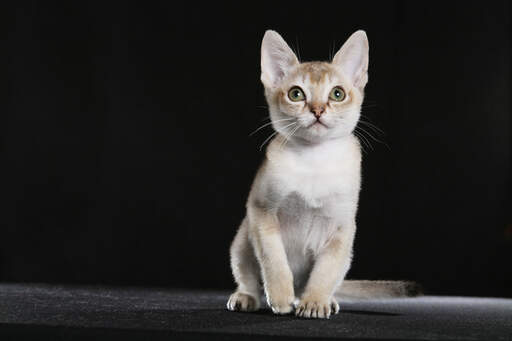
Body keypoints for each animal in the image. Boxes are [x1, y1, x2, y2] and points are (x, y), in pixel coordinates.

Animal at [228, 29, 420, 318]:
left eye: (337, 94)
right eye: (296, 94)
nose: (317, 110)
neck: (314, 160)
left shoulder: (342, 227)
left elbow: (325, 272)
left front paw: (315, 302)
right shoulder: (261, 212)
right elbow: (274, 261)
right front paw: (280, 297)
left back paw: (323, 300)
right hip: (242, 239)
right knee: (248, 277)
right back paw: (248, 297)